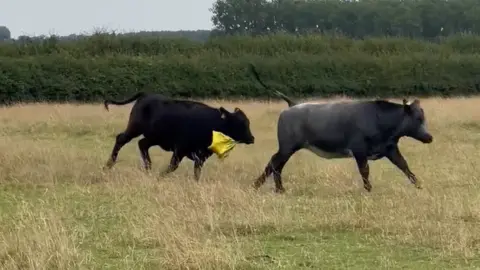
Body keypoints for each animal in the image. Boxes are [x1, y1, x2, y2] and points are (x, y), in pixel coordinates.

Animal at [103, 92, 256, 180]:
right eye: (241, 123)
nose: (252, 138)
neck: (213, 124)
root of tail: (146, 95)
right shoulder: (181, 149)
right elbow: (173, 166)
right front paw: (160, 177)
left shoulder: (200, 155)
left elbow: (197, 172)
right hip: (135, 128)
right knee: (121, 139)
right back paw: (109, 165)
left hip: (154, 137)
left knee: (142, 144)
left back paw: (148, 167)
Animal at [249, 64, 434, 193]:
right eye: (417, 119)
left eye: (423, 118)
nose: (429, 137)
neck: (379, 120)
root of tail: (293, 105)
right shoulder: (359, 150)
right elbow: (365, 171)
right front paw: (369, 190)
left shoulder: (390, 149)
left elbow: (405, 166)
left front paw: (420, 186)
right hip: (287, 147)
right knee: (273, 163)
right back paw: (259, 186)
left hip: (288, 149)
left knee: (277, 166)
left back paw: (279, 189)